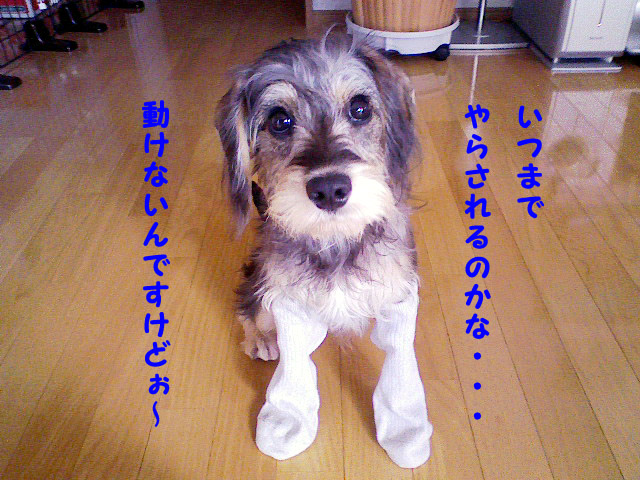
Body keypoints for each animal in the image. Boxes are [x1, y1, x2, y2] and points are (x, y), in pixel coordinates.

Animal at [215, 33, 432, 469]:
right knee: (247, 306)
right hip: (261, 279)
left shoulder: (398, 299)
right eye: (279, 120)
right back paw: (260, 339)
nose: (330, 189)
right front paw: (287, 420)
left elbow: (399, 364)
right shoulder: (289, 303)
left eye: (360, 108)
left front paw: (404, 428)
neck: (336, 241)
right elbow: (294, 368)